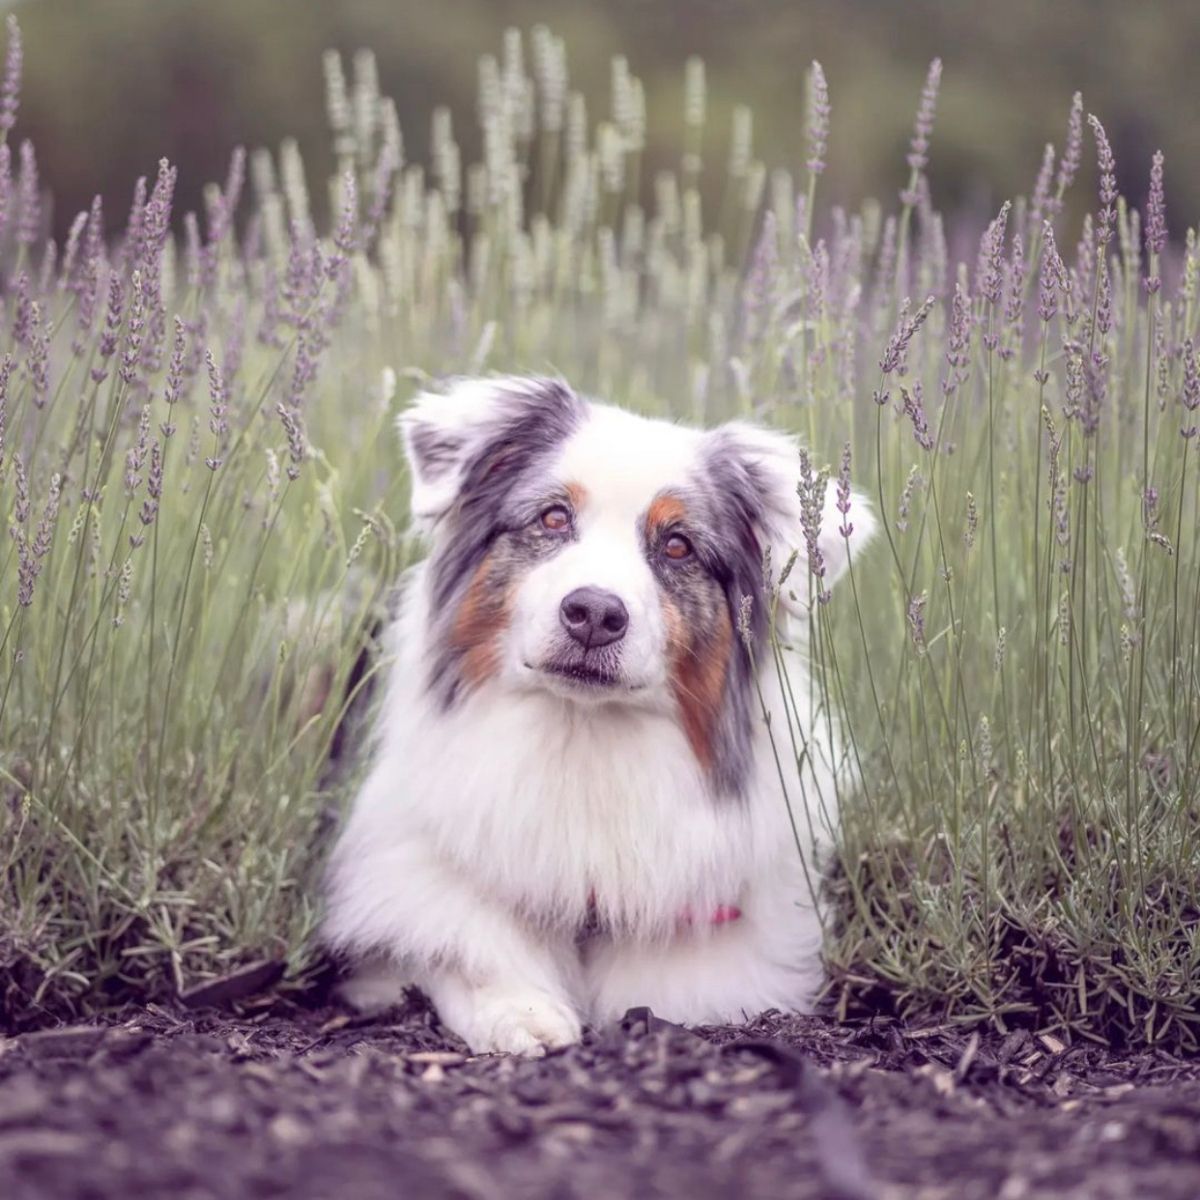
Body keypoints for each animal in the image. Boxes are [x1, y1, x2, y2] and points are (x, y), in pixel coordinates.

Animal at [324, 374, 878, 1051]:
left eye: (677, 545)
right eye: (554, 517)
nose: (593, 613)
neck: (582, 743)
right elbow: (459, 948)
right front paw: (520, 1008)